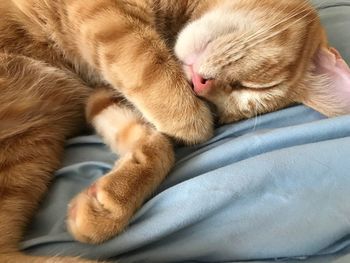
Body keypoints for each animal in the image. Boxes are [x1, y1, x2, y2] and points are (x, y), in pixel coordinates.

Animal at [0, 0, 350, 263]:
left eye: (221, 103)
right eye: (255, 85)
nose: (198, 86)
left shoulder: (98, 98)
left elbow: (157, 142)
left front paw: (109, 201)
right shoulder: (102, 14)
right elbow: (141, 56)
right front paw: (190, 120)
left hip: (30, 150)